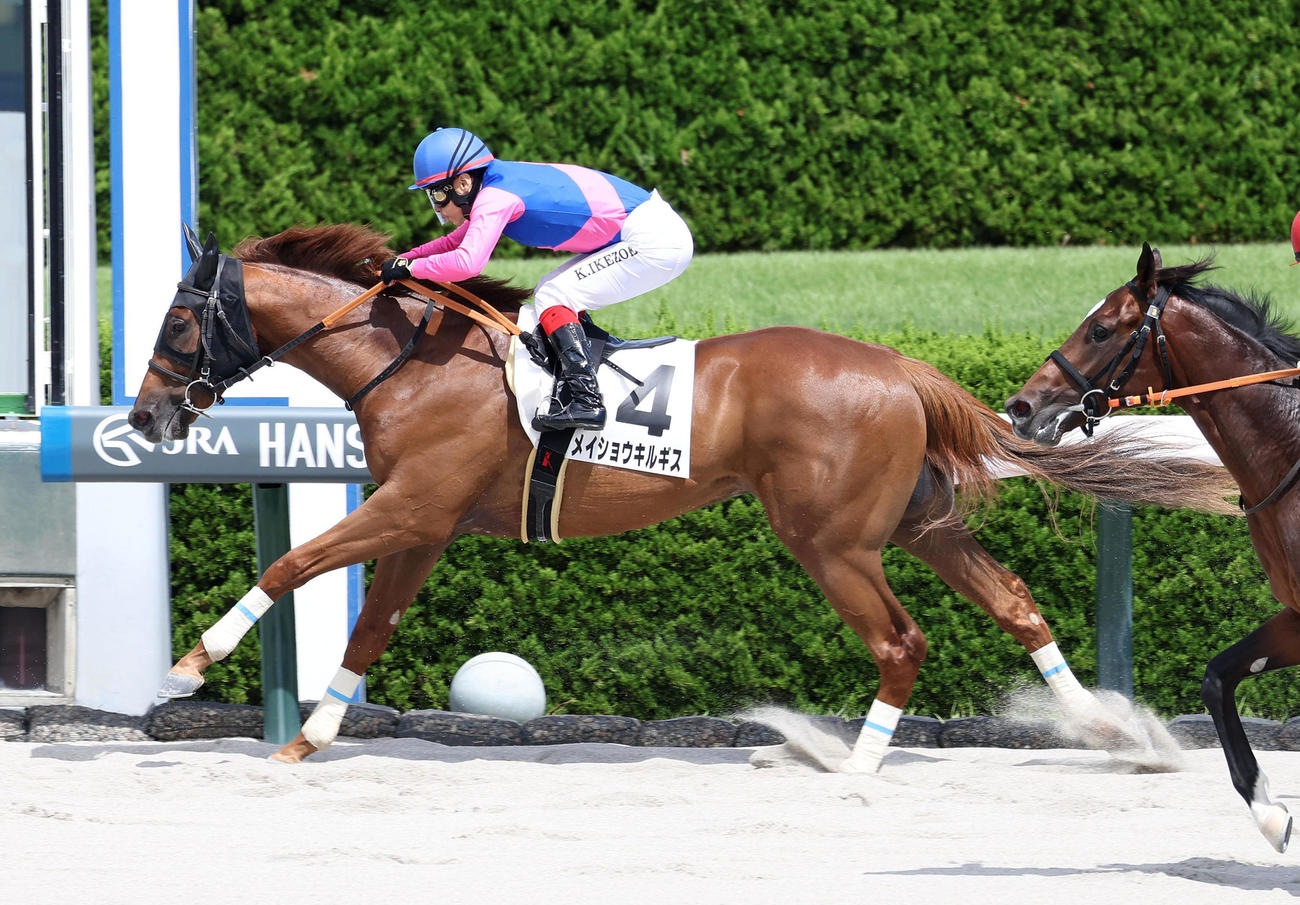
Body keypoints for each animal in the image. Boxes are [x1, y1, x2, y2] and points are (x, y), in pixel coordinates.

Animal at [132, 224, 1236, 770]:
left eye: (177, 326)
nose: (145, 417)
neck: (407, 359)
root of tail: (901, 366)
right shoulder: (427, 520)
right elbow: (370, 625)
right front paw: (310, 734)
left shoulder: (411, 505)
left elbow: (290, 561)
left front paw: (185, 670)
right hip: (915, 521)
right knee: (1013, 600)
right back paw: (1113, 730)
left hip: (830, 539)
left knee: (900, 639)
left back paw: (852, 761)